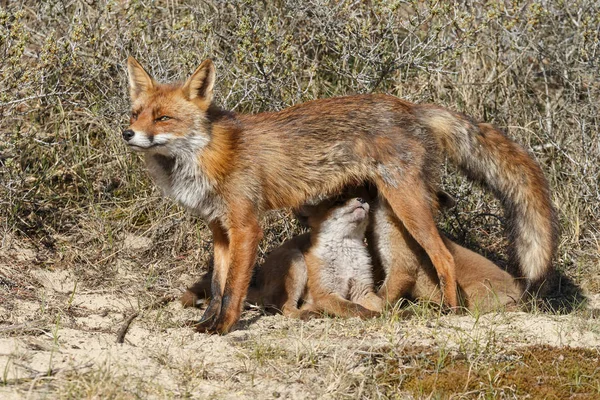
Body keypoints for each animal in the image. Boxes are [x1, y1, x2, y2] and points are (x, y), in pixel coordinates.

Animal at [123, 55, 556, 332]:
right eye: (135, 113)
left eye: (163, 118)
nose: (127, 133)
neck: (205, 156)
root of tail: (412, 106)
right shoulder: (219, 229)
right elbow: (216, 287)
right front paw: (205, 324)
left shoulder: (247, 226)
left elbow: (233, 290)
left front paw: (224, 328)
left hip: (407, 204)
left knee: (444, 257)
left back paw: (451, 312)